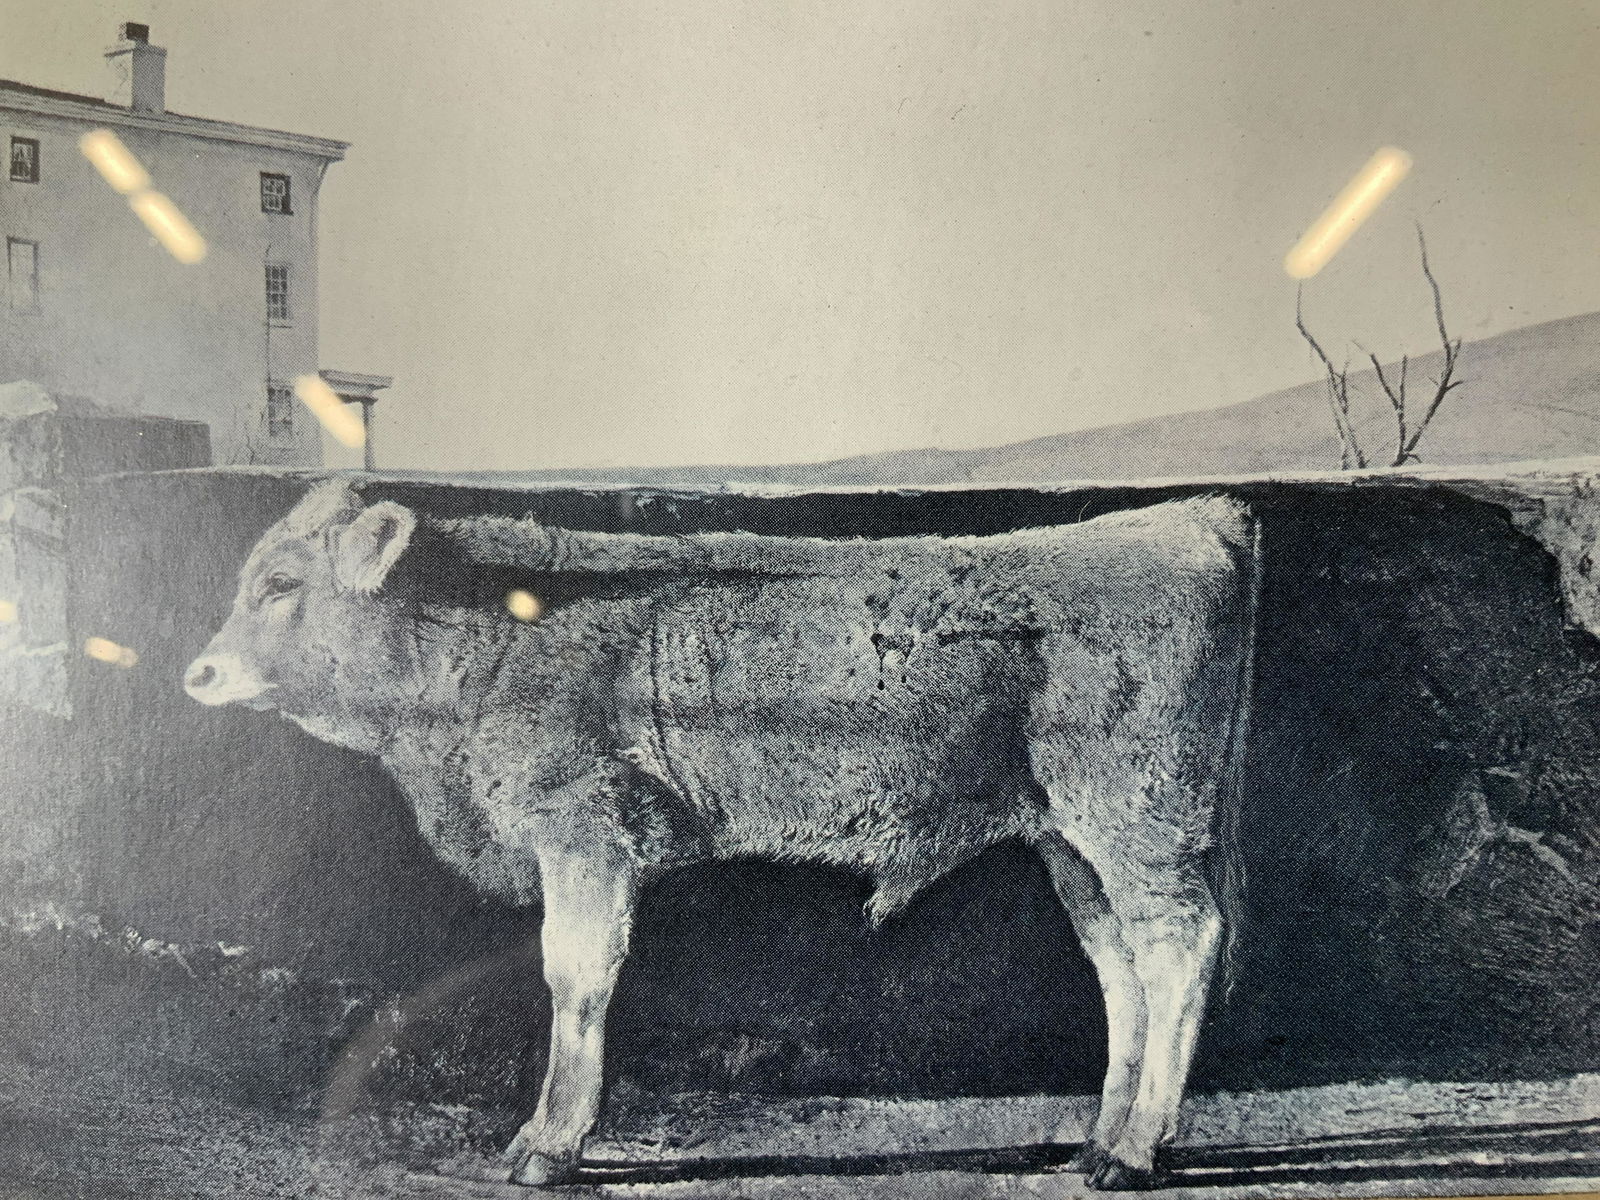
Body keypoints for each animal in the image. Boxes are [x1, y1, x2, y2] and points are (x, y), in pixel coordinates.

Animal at [184, 480, 1259, 1190]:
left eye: (280, 583)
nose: (199, 672)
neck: (496, 623)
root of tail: (1189, 517)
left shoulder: (585, 833)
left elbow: (576, 979)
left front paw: (547, 1144)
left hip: (1137, 822)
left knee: (1178, 945)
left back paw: (1135, 1149)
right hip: (1072, 842)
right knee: (1120, 967)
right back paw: (1103, 1137)